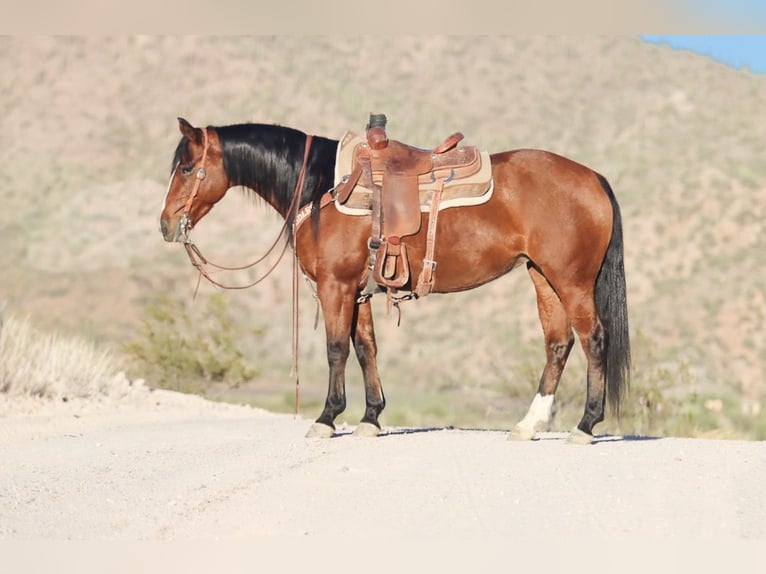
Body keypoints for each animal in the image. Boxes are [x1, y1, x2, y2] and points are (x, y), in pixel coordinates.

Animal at [159, 117, 630, 444]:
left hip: (572, 281)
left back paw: (585, 426)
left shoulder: (335, 287)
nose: (165, 225)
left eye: (185, 167)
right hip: (543, 277)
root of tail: (593, 178)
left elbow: (335, 349)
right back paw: (529, 425)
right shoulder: (359, 292)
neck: (321, 187)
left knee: (594, 339)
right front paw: (370, 418)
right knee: (558, 344)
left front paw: (327, 418)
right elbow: (366, 348)